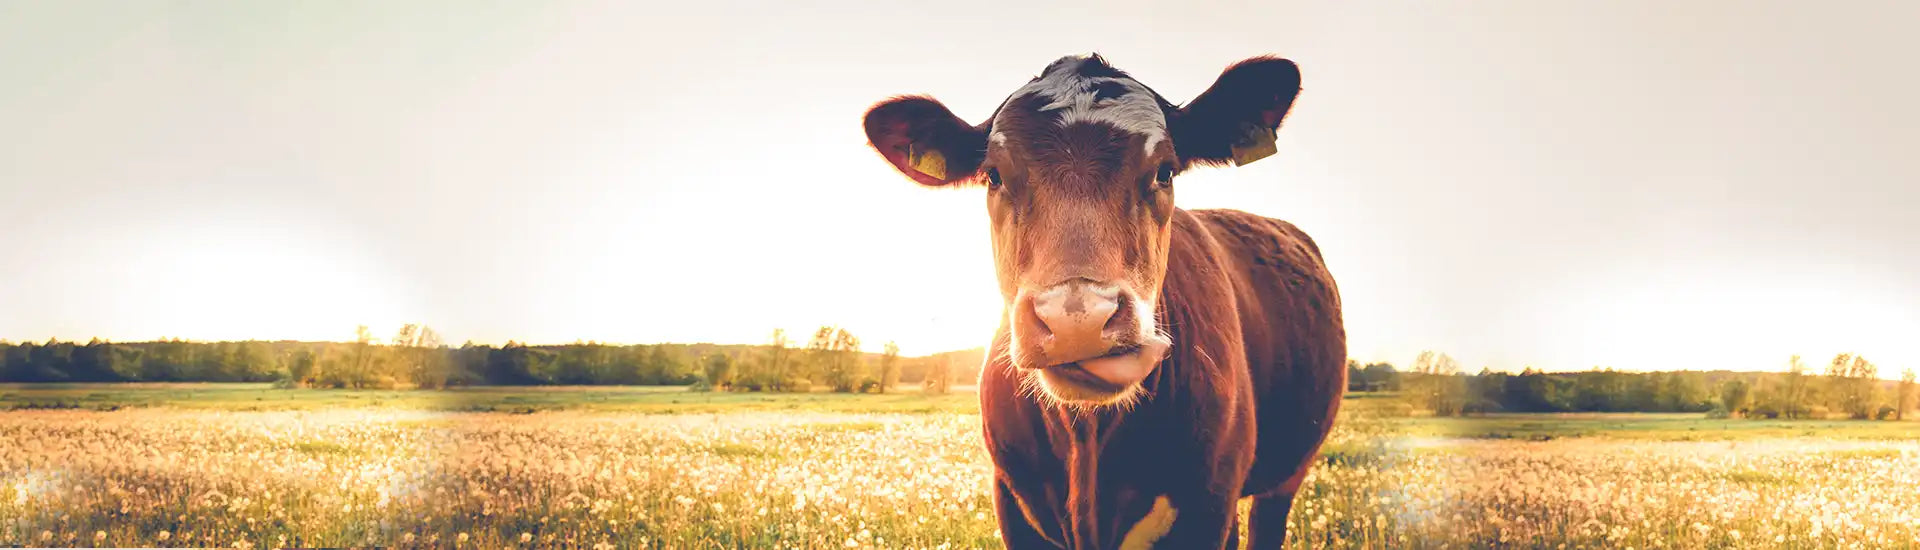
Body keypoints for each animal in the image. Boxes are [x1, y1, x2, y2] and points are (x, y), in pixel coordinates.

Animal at [861, 54, 1346, 550]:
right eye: (993, 174)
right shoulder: (1011, 501)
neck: (1086, 440)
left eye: (1165, 171)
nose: (1077, 320)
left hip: (1284, 477)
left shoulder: (1210, 504)